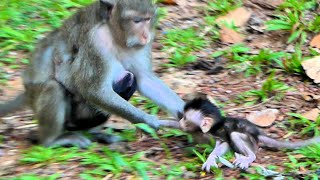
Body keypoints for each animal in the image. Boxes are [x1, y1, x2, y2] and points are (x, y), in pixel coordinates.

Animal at [0, 0, 184, 148]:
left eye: (148, 19)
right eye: (136, 21)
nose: (146, 35)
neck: (114, 35)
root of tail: (27, 91)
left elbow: (145, 80)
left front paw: (184, 111)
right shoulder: (95, 43)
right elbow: (94, 90)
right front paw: (147, 120)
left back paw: (95, 134)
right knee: (53, 87)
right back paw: (52, 141)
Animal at [161, 97, 320, 172]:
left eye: (185, 118)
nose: (181, 121)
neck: (214, 125)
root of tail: (257, 133)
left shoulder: (217, 132)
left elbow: (224, 143)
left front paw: (210, 159)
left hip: (250, 140)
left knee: (236, 135)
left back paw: (249, 157)